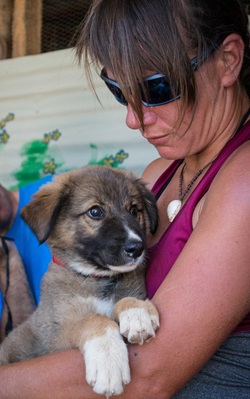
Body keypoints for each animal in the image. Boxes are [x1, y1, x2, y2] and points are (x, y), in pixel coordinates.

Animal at [0, 166, 160, 396]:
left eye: (133, 210)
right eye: (95, 212)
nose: (137, 248)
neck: (97, 279)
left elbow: (125, 299)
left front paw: (136, 312)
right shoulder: (54, 338)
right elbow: (92, 319)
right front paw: (109, 363)